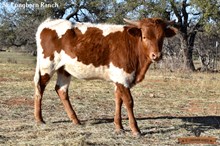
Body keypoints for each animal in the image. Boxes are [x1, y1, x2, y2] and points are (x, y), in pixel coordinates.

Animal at [34, 18, 177, 136]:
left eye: (162, 37)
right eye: (145, 37)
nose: (156, 55)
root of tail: (47, 23)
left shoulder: (119, 79)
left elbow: (118, 100)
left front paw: (119, 127)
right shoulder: (122, 77)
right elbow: (129, 101)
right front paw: (135, 129)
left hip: (64, 69)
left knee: (61, 90)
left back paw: (75, 120)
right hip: (47, 66)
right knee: (40, 87)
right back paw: (39, 119)